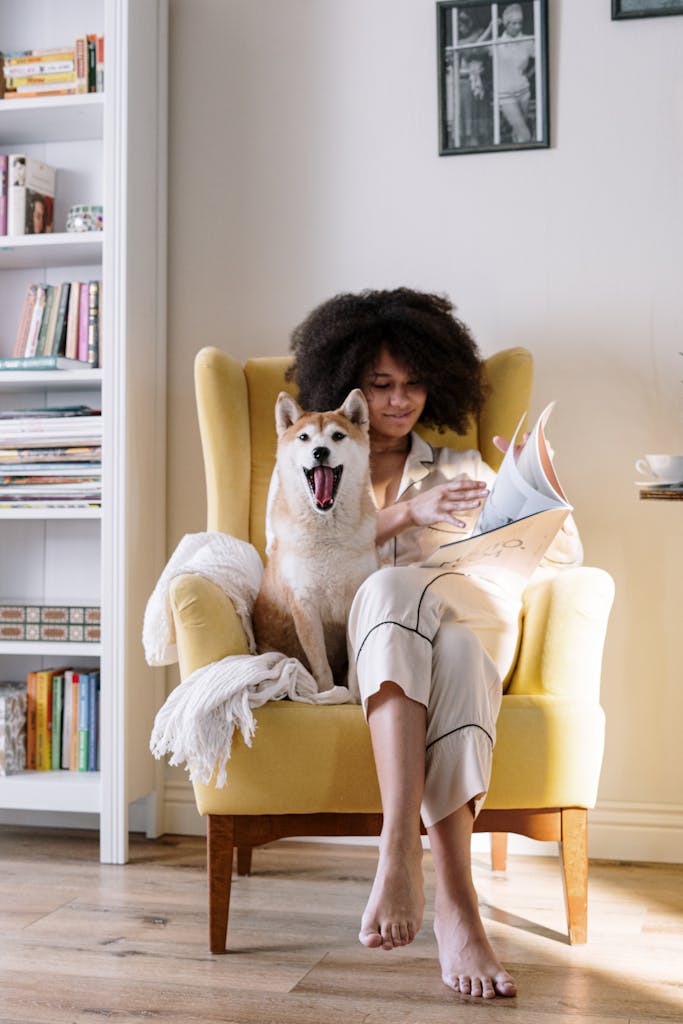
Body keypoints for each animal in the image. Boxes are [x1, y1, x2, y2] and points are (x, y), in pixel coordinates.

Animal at [252, 387, 378, 692]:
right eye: (303, 437)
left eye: (338, 436)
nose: (320, 451)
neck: (327, 536)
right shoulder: (304, 605)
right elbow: (320, 665)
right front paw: (329, 693)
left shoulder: (354, 600)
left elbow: (355, 667)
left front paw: (354, 697)